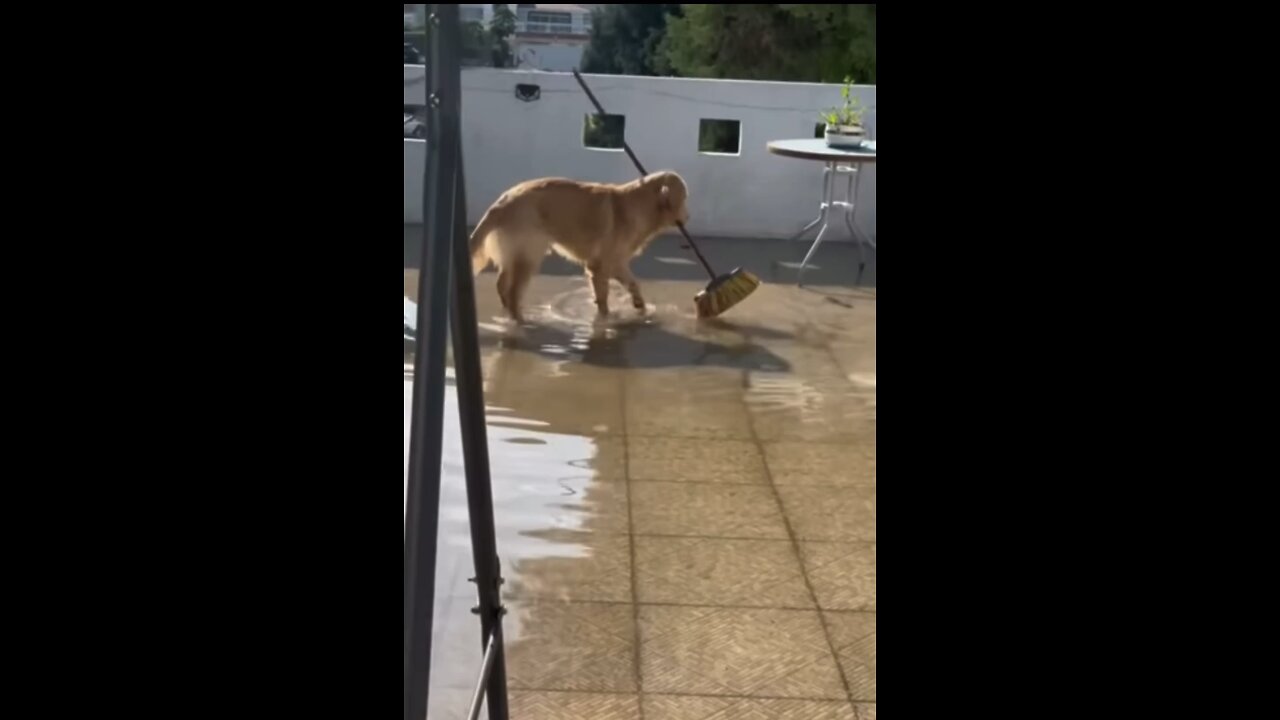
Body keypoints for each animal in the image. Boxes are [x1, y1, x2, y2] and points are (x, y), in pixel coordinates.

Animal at [468, 170, 691, 319]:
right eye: (684, 197)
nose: (688, 217)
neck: (639, 205)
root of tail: (502, 201)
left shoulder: (616, 263)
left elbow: (634, 284)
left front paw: (640, 306)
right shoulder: (600, 267)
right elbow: (603, 301)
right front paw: (606, 320)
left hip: (514, 254)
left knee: (502, 285)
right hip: (529, 254)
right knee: (513, 292)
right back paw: (520, 321)